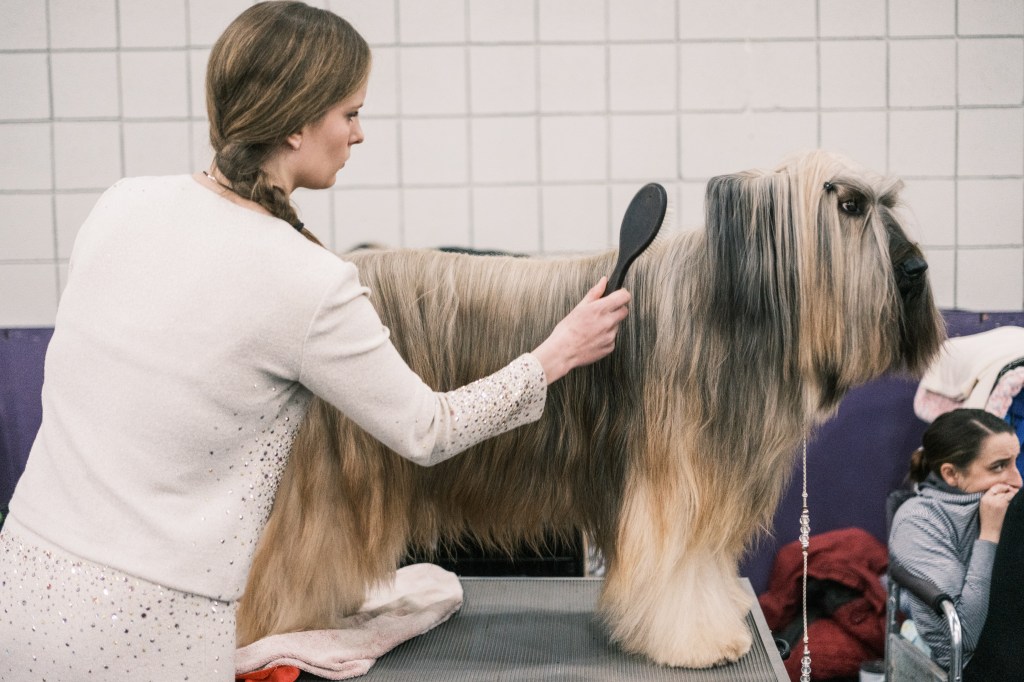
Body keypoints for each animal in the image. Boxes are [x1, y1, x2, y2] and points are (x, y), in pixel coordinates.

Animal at [237, 148, 942, 663]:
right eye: (850, 206)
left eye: (887, 204)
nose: (916, 270)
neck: (731, 315)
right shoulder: (671, 488)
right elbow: (673, 570)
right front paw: (694, 641)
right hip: (335, 478)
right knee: (286, 566)